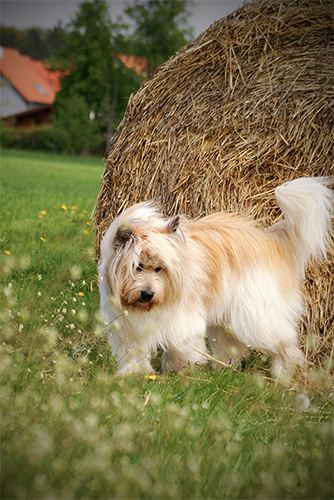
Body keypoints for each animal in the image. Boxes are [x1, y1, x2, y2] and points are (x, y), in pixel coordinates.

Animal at [98, 178, 332, 376]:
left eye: (159, 268)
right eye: (137, 267)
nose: (148, 294)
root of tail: (271, 240)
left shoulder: (182, 318)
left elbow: (179, 346)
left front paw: (181, 370)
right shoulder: (127, 326)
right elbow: (132, 350)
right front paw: (134, 374)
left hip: (255, 315)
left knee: (284, 341)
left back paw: (283, 373)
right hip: (227, 317)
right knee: (232, 346)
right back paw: (223, 370)